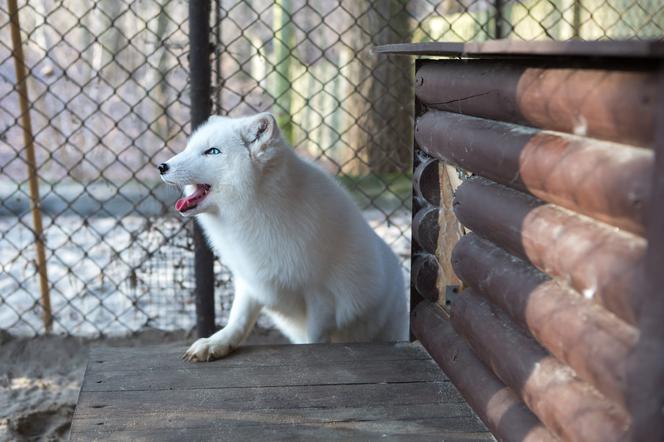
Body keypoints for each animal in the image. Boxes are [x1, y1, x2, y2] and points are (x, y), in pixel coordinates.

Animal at [161, 112, 410, 360]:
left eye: (212, 151)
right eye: (189, 147)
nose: (161, 166)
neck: (258, 210)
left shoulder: (322, 296)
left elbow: (316, 339)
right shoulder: (251, 278)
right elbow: (238, 319)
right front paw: (217, 342)